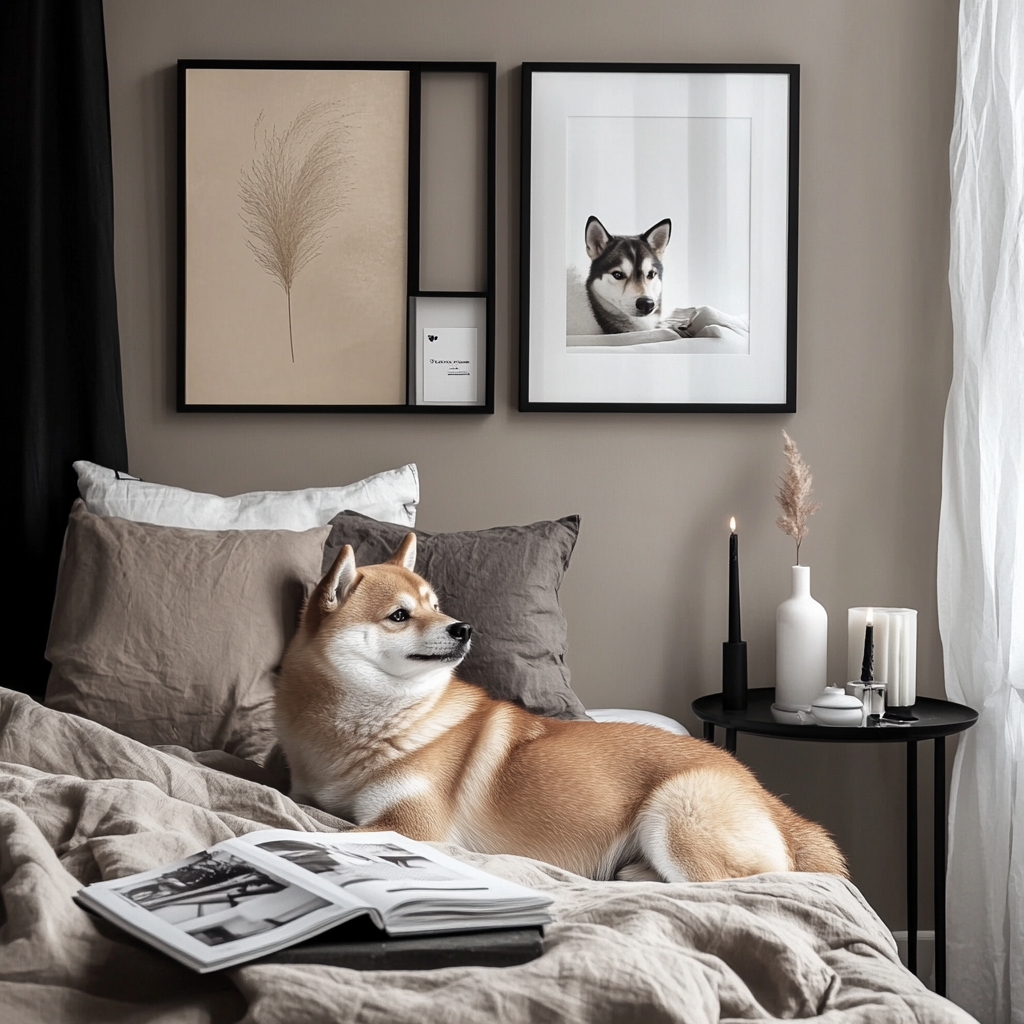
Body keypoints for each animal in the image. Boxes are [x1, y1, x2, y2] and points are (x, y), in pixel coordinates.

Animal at [276, 540, 843, 884]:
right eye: (399, 615)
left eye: (435, 605)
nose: (463, 627)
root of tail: (766, 795)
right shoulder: (312, 797)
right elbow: (305, 814)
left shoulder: (411, 825)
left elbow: (314, 834)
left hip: (674, 814)